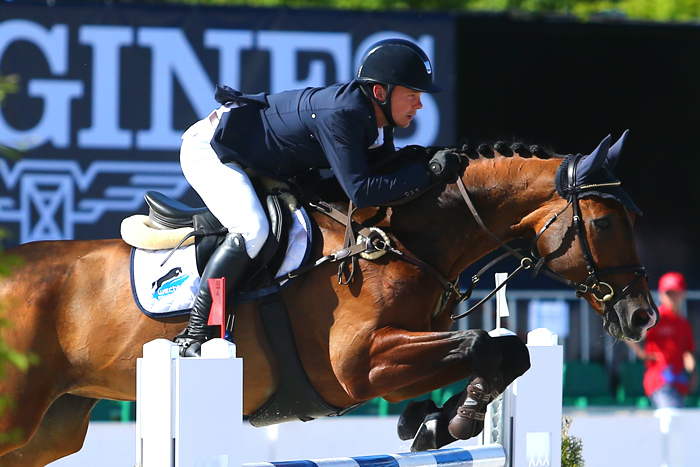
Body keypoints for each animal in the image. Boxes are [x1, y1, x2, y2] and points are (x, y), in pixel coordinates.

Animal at [0, 132, 657, 466]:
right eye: (604, 225)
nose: (641, 315)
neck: (397, 240)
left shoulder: (401, 356)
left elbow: (504, 351)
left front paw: (434, 422)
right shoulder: (357, 366)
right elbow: (483, 344)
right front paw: (448, 420)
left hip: (53, 427)